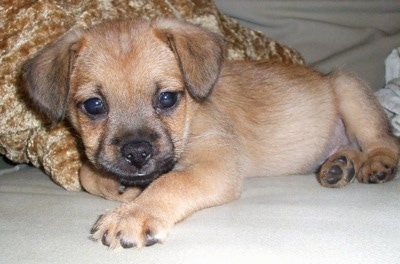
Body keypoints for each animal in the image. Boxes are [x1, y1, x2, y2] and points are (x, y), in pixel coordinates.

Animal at [22, 19, 400, 250]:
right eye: (94, 105)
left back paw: (375, 163)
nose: (137, 153)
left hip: (348, 88)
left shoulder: (215, 165)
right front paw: (118, 188)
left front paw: (134, 214)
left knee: (385, 141)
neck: (191, 114)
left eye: (167, 98)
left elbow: (171, 182)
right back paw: (339, 166)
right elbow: (86, 172)